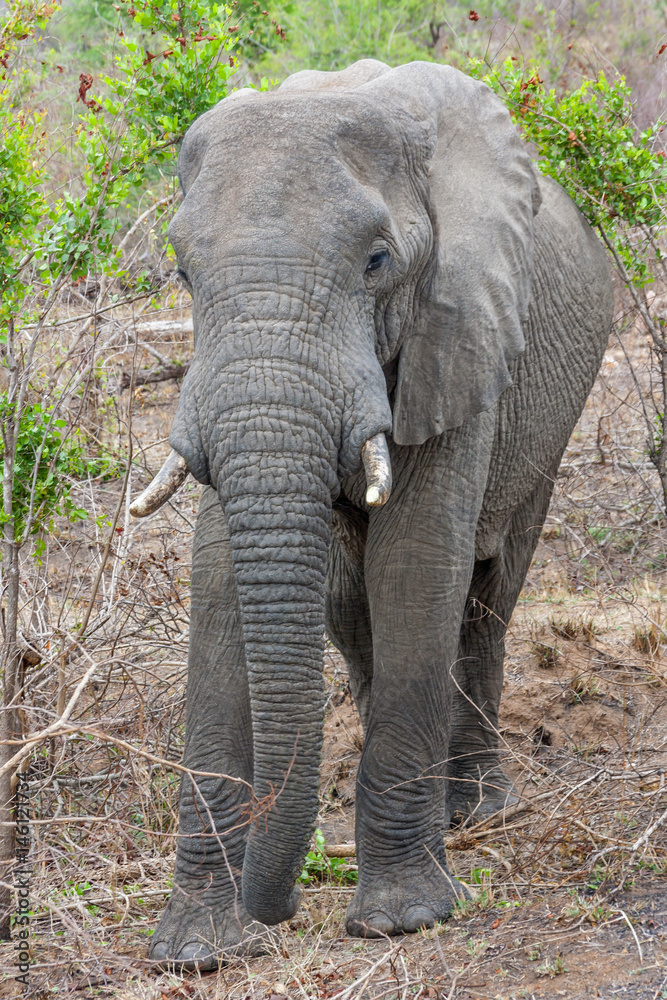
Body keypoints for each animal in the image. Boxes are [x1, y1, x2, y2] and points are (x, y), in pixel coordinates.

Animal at [129, 59, 613, 968]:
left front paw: (402, 919)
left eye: (377, 262)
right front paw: (194, 949)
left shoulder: (455, 333)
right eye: (182, 274)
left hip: (551, 415)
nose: (277, 911)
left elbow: (417, 566)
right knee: (352, 613)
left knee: (486, 599)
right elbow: (219, 585)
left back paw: (474, 810)